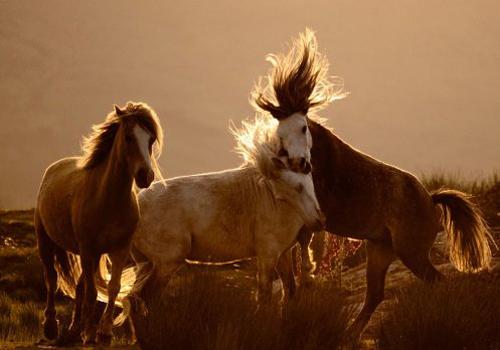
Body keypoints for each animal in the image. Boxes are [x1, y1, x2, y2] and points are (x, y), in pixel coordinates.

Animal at [35, 102, 164, 346]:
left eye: (151, 139)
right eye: (128, 137)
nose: (145, 176)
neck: (107, 200)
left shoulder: (119, 250)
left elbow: (112, 288)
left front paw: (103, 333)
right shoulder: (88, 249)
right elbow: (92, 293)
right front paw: (90, 334)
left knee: (79, 286)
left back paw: (75, 329)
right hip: (47, 242)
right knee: (51, 279)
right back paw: (51, 328)